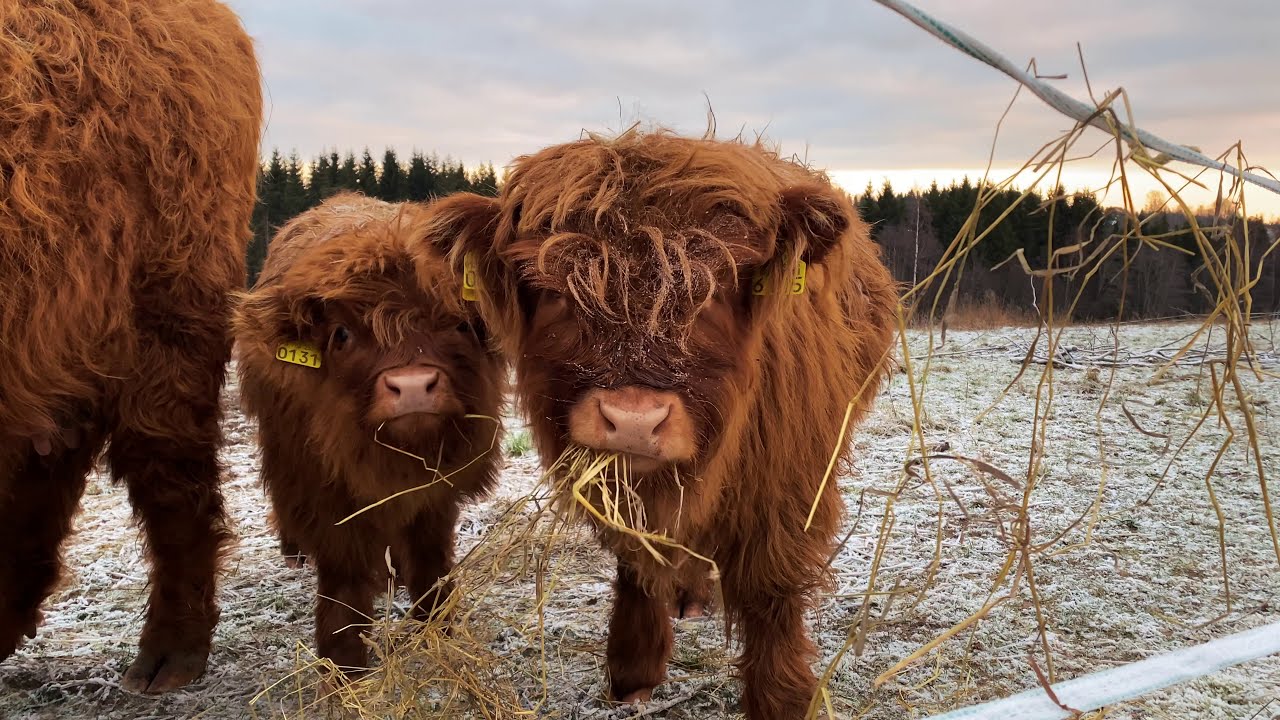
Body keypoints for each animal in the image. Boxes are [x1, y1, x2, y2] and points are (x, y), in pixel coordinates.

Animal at [232, 192, 505, 672]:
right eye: (342, 333)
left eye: (457, 323)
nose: (412, 386)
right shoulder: (325, 494)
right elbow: (344, 583)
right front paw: (345, 665)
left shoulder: (435, 494)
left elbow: (430, 562)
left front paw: (437, 629)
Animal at [414, 129, 899, 718]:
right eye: (555, 293)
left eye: (715, 290)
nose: (633, 420)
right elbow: (637, 561)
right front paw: (634, 671)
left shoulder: (789, 482)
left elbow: (771, 591)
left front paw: (782, 697)